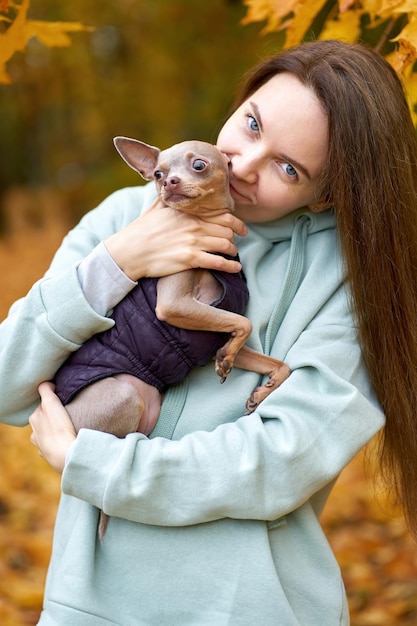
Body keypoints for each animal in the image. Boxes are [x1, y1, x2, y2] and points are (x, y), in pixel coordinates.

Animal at [53, 136, 290, 536]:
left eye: (199, 165)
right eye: (158, 174)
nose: (170, 183)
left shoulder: (212, 332)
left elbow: (272, 360)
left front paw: (260, 386)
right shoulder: (175, 305)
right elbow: (241, 325)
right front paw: (229, 364)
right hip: (126, 394)